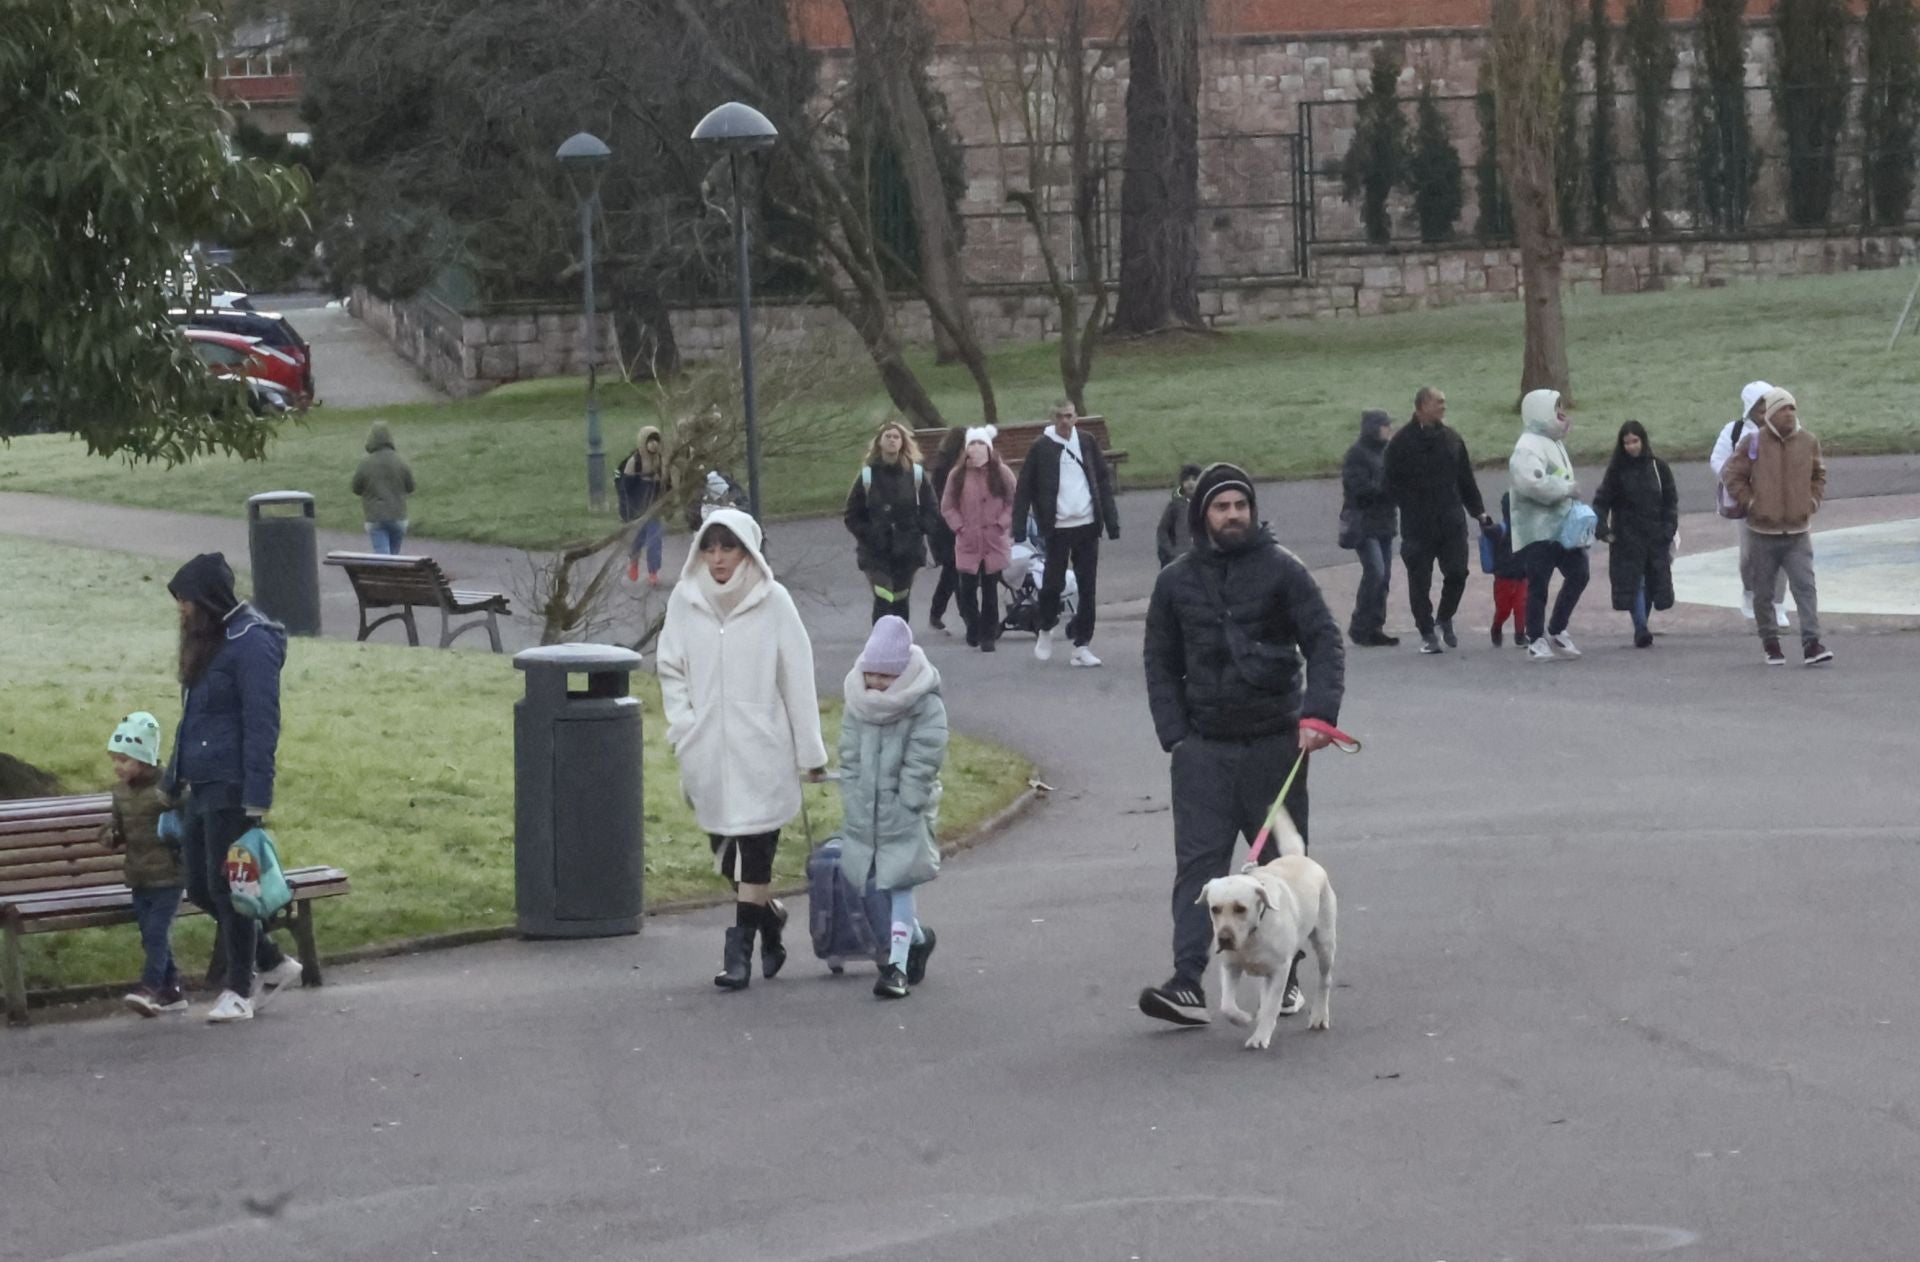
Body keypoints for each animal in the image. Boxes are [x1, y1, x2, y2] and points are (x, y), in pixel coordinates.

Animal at [1198, 810, 1336, 1044]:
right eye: (1214, 909)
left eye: (1240, 908)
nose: (1224, 939)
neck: (1252, 935)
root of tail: (1300, 857)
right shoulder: (1230, 966)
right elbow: (1226, 1005)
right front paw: (1242, 1018)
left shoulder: (1280, 970)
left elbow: (1272, 1005)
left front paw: (1260, 1036)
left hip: (1325, 942)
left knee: (1324, 980)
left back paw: (1319, 1016)